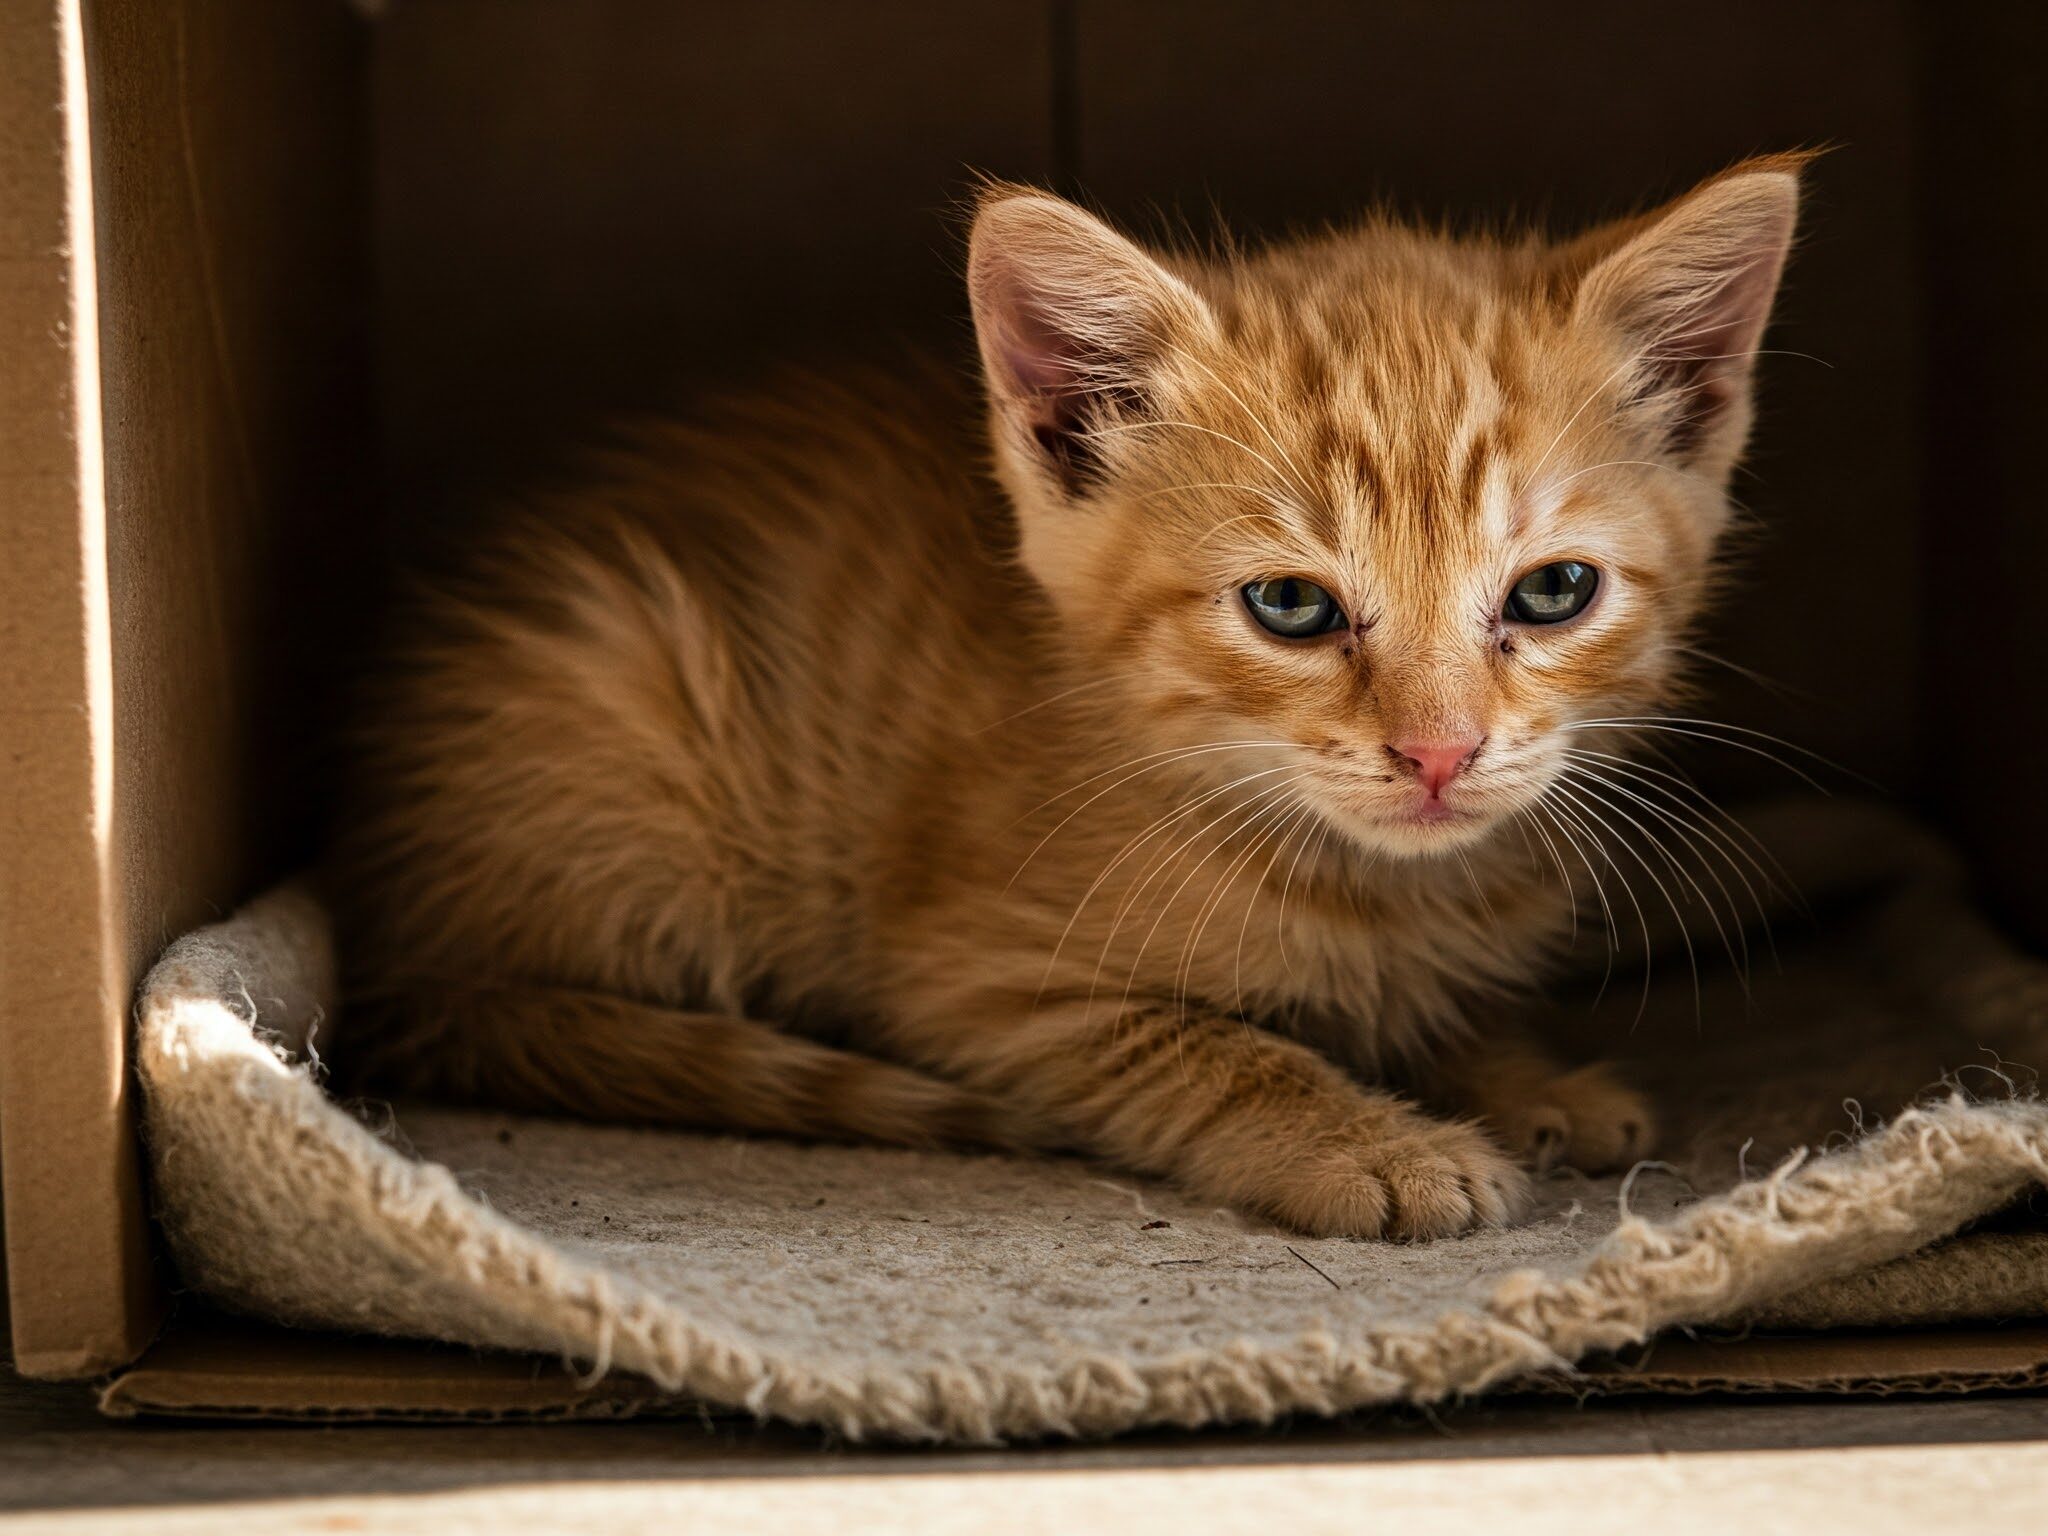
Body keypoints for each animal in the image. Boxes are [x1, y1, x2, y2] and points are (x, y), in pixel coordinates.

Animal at [339, 156, 1810, 1236]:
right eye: (1290, 609)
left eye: (1553, 593)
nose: (1439, 755)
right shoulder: (978, 982)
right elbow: (1214, 1049)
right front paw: (1371, 1145)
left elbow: (1426, 1005)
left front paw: (1518, 1071)